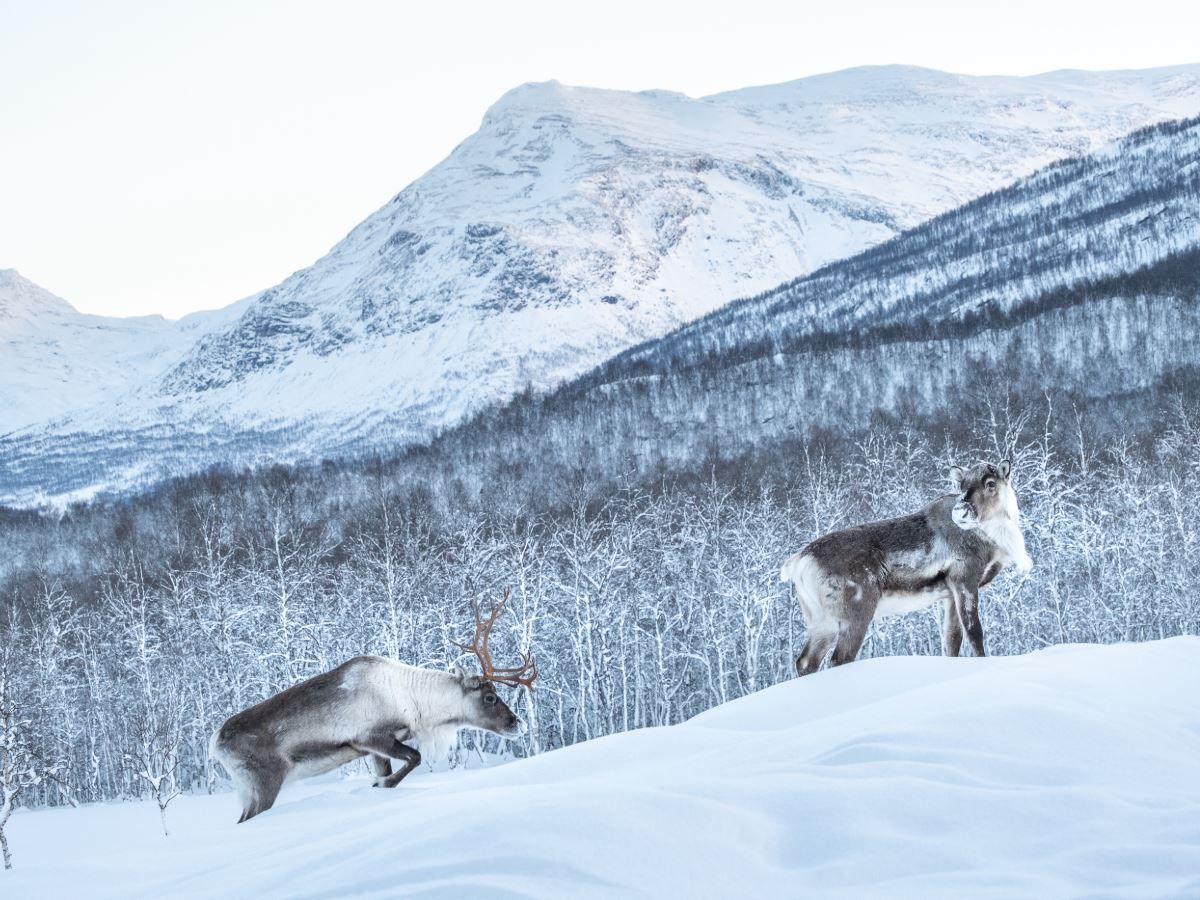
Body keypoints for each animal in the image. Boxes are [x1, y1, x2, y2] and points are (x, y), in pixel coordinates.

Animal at [209, 592, 537, 823]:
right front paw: (380, 782)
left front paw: (381, 783)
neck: (417, 703)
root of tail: (215, 743)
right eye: (490, 697)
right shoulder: (372, 738)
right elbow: (415, 758)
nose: (517, 723)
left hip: (247, 789)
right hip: (265, 780)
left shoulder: (375, 750)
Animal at [780, 460, 1032, 676]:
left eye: (990, 483)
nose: (961, 512)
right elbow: (974, 633)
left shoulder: (950, 594)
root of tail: (799, 562)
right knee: (839, 659)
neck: (993, 540)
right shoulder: (965, 579)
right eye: (961, 485)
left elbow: (952, 639)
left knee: (805, 661)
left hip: (821, 621)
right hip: (855, 614)